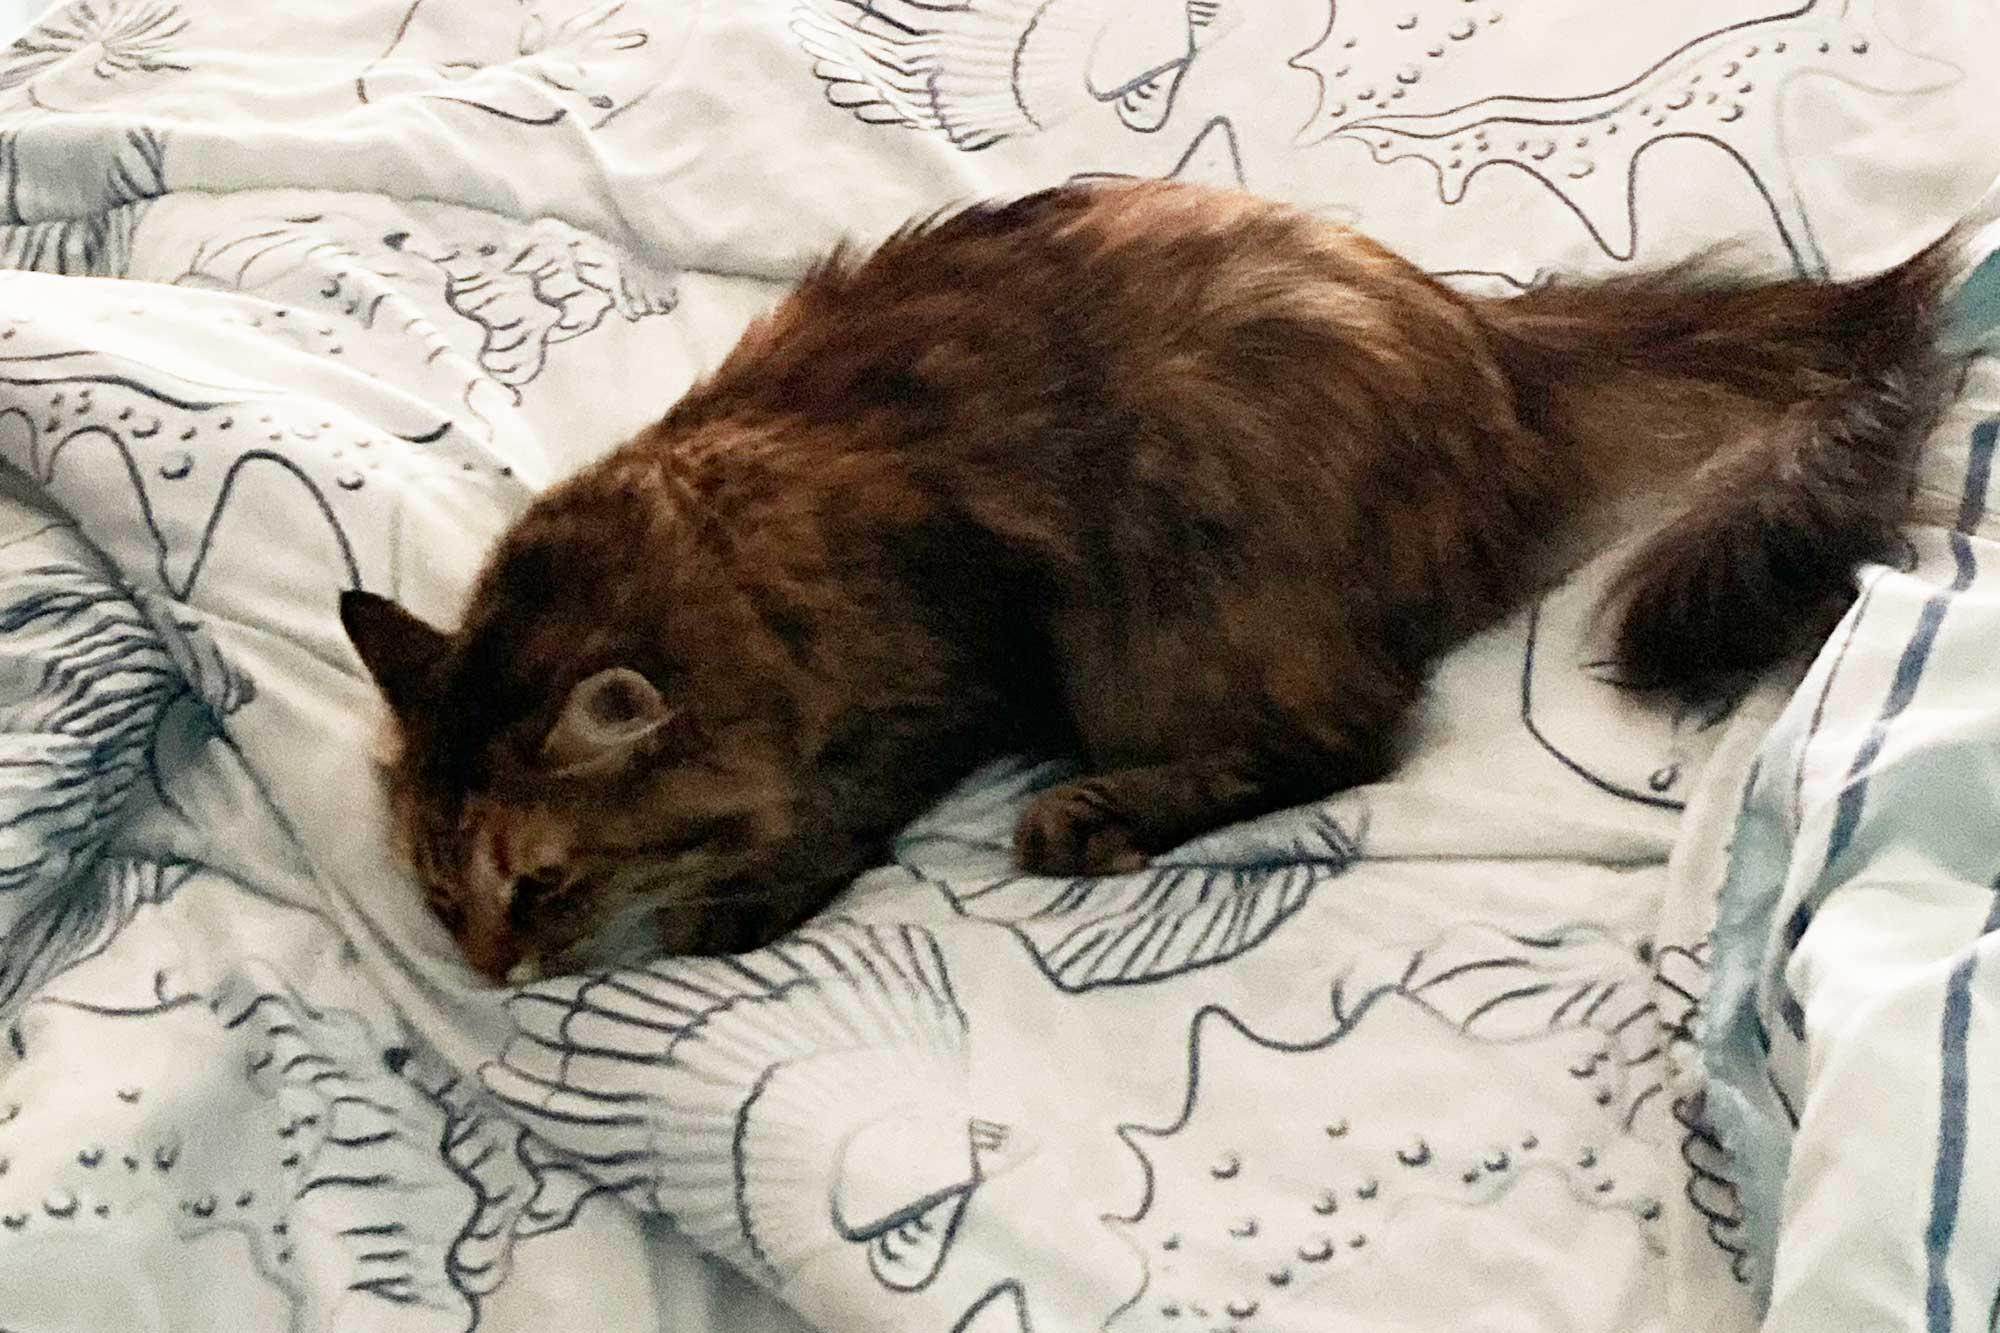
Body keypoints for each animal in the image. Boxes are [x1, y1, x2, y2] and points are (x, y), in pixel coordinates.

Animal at [340, 179, 1952, 976]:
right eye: (435, 893)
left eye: (540, 883)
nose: (485, 974)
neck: (720, 564)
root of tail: (1491, 346)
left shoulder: (968, 640)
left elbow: (853, 795)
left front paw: (748, 894)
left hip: (1146, 626)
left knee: (1351, 743)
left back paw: (1095, 818)